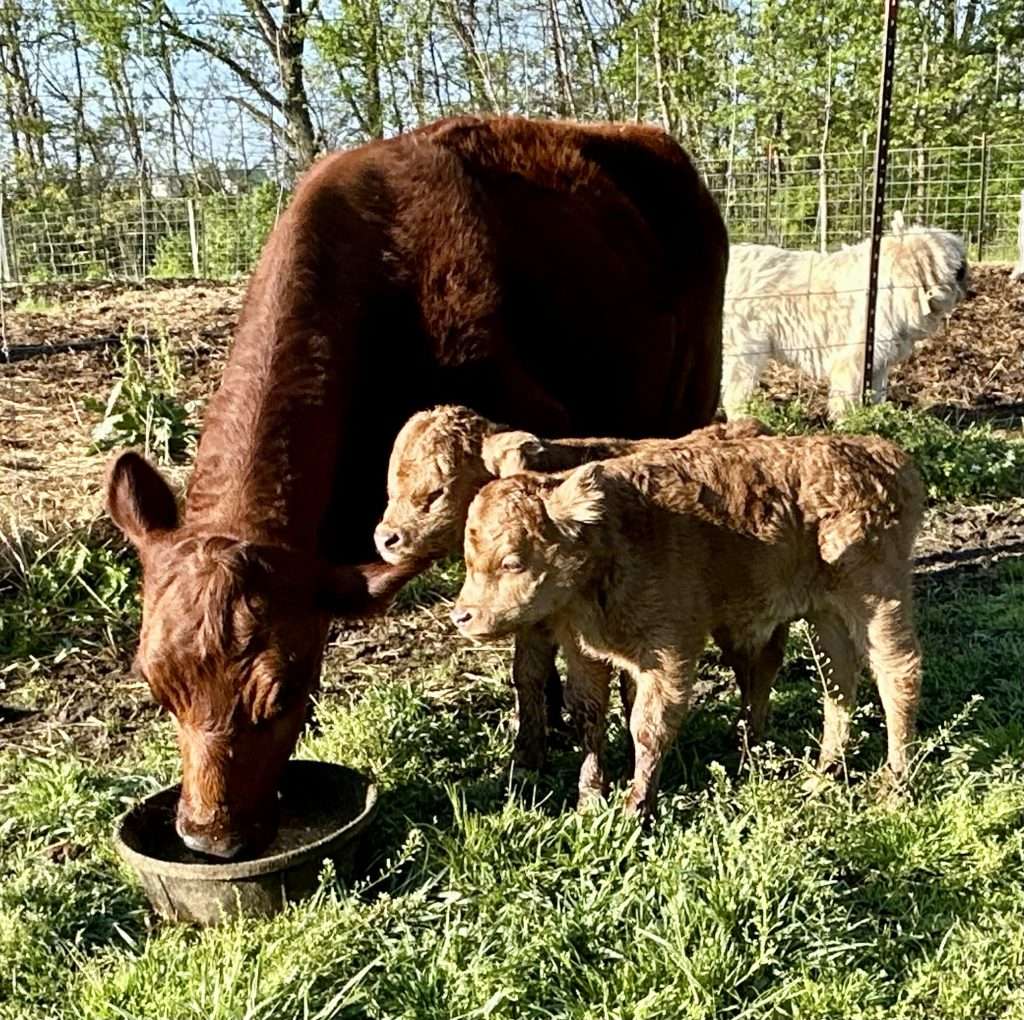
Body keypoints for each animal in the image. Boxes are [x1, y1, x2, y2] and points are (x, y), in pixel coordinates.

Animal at [106, 115, 728, 858]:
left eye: (283, 694)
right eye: (155, 686)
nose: (209, 839)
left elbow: (529, 638)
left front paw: (532, 750)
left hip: (690, 391)